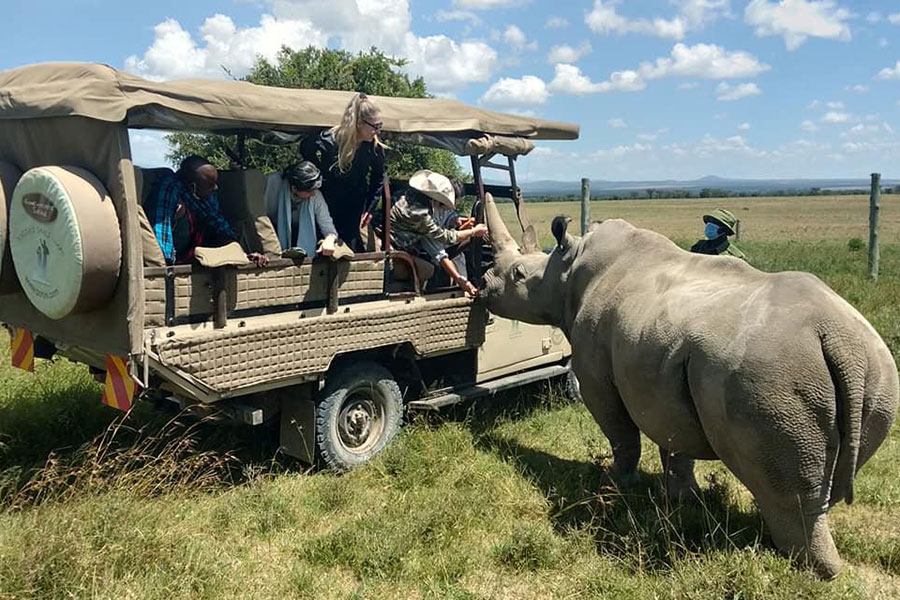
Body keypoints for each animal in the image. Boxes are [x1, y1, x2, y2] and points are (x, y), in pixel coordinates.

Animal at [486, 195, 900, 580]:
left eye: (518, 274)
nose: (485, 284)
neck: (566, 269)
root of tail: (839, 339)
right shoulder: (660, 371)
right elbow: (675, 442)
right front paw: (683, 499)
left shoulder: (594, 374)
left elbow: (621, 434)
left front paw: (616, 485)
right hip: (878, 376)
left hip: (773, 376)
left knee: (788, 489)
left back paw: (802, 568)